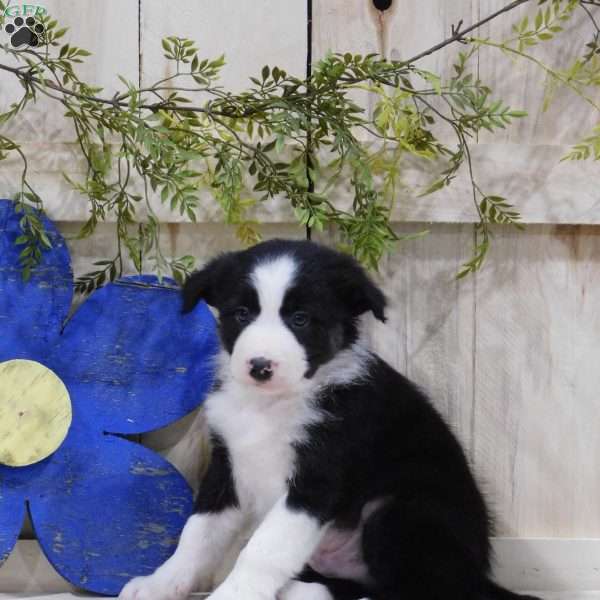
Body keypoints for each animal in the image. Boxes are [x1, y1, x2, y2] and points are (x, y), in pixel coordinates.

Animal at [120, 239, 540, 600]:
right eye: (241, 314)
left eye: (301, 319)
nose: (260, 366)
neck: (271, 404)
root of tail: (478, 575)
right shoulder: (228, 468)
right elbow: (197, 534)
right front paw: (160, 584)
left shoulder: (316, 482)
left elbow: (263, 549)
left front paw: (233, 596)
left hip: (398, 513)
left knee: (422, 591)